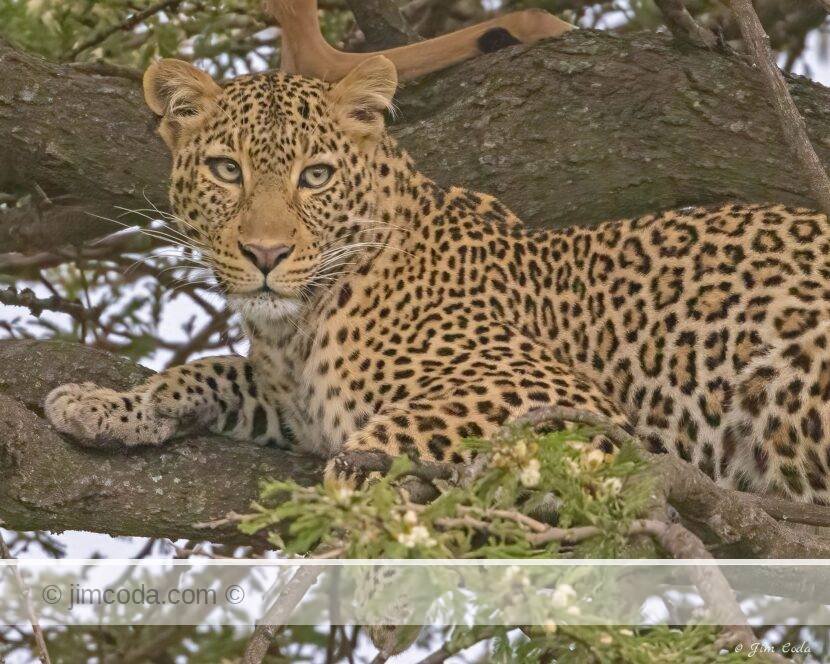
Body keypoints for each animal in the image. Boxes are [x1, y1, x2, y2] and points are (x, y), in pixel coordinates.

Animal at [44, 54, 830, 504]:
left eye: (315, 176)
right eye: (225, 169)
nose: (265, 254)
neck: (299, 326)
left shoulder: (555, 394)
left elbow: (395, 428)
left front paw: (359, 481)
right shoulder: (291, 403)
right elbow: (206, 371)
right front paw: (110, 405)